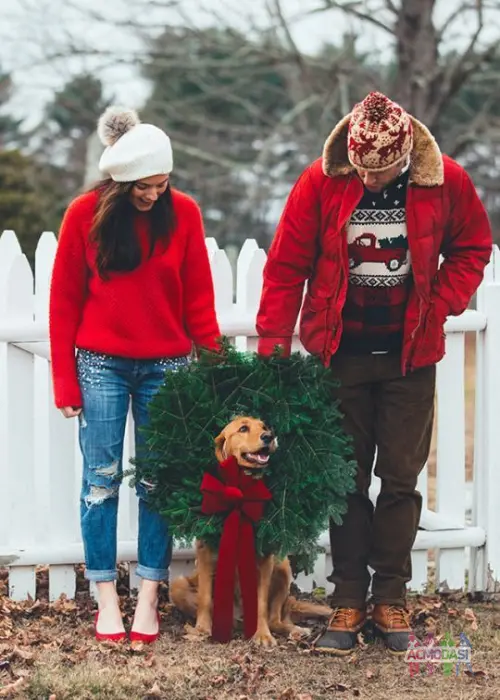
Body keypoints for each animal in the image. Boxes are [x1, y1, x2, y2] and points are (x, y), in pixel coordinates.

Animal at [168, 416, 332, 644]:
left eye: (264, 427)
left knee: (276, 618)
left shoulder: (265, 559)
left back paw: (294, 630)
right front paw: (201, 629)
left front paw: (262, 634)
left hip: (282, 565)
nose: (269, 436)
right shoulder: (206, 551)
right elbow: (205, 598)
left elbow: (260, 604)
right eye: (243, 428)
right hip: (178, 584)